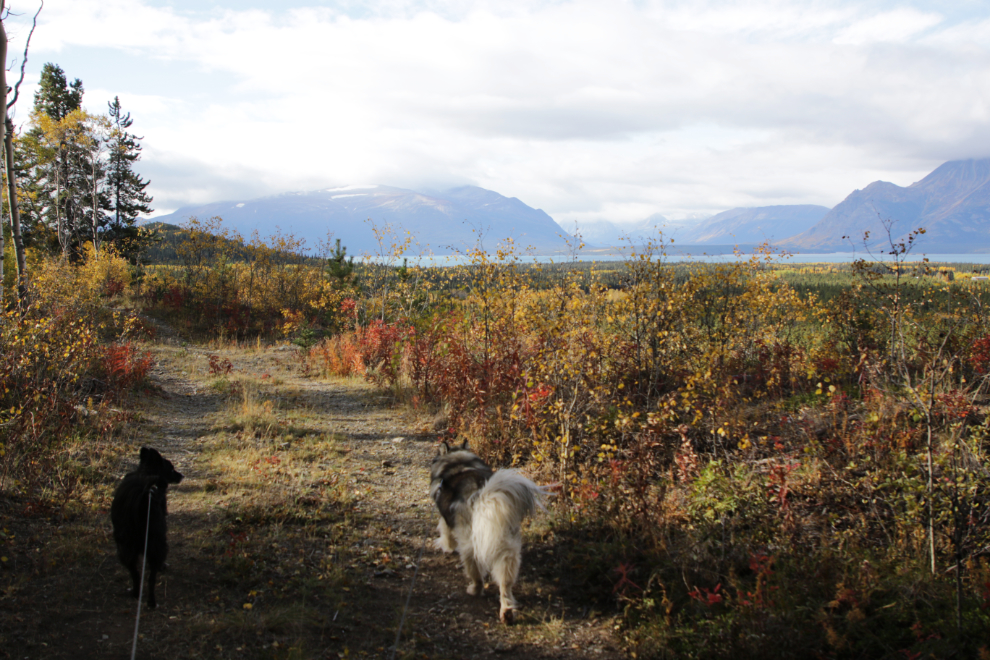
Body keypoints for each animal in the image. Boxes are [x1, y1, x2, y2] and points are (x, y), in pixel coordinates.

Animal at [111, 448, 183, 608]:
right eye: (171, 468)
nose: (182, 475)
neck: (146, 471)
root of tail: (144, 496)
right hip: (157, 543)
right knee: (151, 577)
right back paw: (151, 601)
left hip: (126, 546)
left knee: (136, 574)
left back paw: (136, 594)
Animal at [428, 440, 548, 620]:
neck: (459, 461)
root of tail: (483, 497)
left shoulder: (446, 519)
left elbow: (446, 535)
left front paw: (446, 547)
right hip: (507, 547)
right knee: (505, 582)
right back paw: (507, 611)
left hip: (470, 545)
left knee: (477, 574)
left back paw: (474, 590)